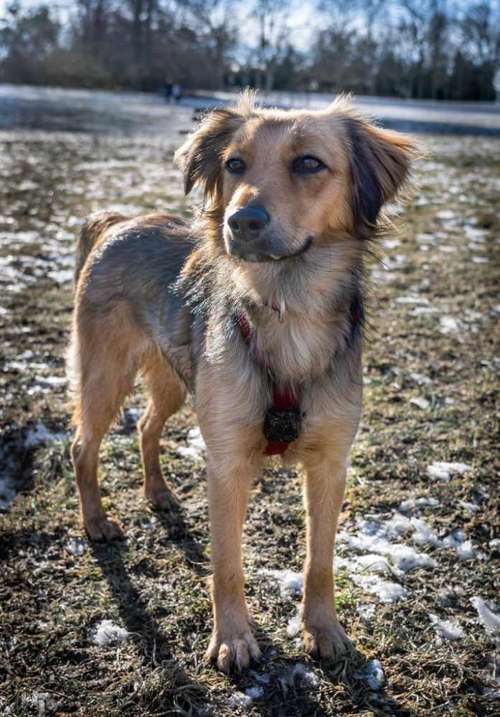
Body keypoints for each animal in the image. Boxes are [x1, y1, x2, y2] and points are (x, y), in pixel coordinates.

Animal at [68, 93, 416, 672]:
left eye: (309, 163)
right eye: (234, 164)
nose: (242, 221)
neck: (288, 310)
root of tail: (121, 220)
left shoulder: (331, 463)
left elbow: (321, 559)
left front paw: (323, 629)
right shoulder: (227, 460)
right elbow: (227, 564)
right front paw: (233, 639)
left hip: (175, 380)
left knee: (145, 427)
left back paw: (158, 493)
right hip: (106, 374)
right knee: (82, 445)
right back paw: (96, 521)